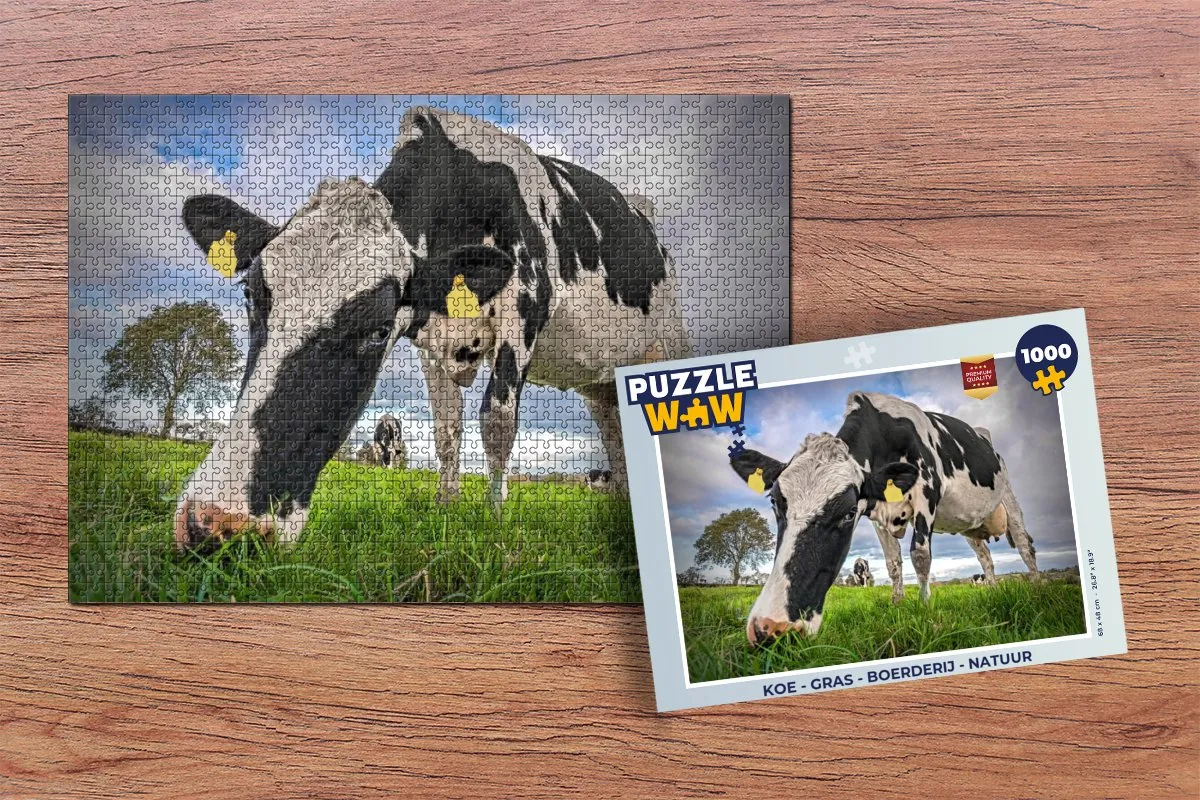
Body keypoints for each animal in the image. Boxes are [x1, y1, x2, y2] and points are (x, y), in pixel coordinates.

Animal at [173, 108, 687, 549]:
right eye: (249, 295)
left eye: (380, 329)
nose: (218, 523)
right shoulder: (430, 340)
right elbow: (446, 429)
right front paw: (446, 506)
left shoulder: (525, 308)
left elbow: (496, 421)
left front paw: (495, 520)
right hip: (600, 383)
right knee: (615, 435)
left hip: (667, 346)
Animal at [730, 391, 1038, 644]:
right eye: (774, 502)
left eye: (849, 512)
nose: (772, 627)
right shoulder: (877, 515)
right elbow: (893, 563)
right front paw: (897, 604)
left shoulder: (927, 491)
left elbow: (920, 554)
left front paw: (924, 608)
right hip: (970, 524)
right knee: (985, 556)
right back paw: (994, 590)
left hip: (1008, 496)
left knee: (1025, 546)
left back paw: (1036, 587)